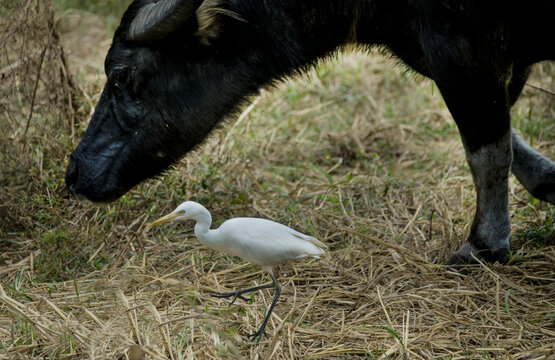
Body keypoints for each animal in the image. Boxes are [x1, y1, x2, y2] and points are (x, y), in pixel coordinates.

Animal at [66, 0, 555, 264]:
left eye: (122, 76)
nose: (74, 174)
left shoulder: (460, 48)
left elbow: (486, 148)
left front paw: (483, 245)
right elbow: (502, 138)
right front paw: (548, 181)